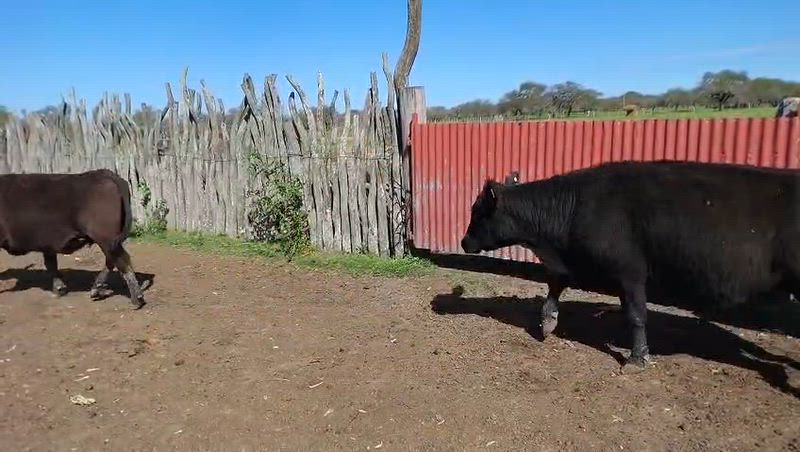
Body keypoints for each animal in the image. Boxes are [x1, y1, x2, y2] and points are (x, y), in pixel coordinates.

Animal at [0, 169, 147, 308]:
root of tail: (105, 174)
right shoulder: (48, 244)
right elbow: (51, 265)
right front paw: (59, 288)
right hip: (109, 242)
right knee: (112, 261)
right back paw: (96, 288)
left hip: (106, 240)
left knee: (122, 260)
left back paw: (137, 298)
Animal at [460, 160, 799, 371]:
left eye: (478, 212)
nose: (463, 242)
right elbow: (556, 283)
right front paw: (548, 321)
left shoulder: (630, 272)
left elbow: (636, 315)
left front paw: (638, 357)